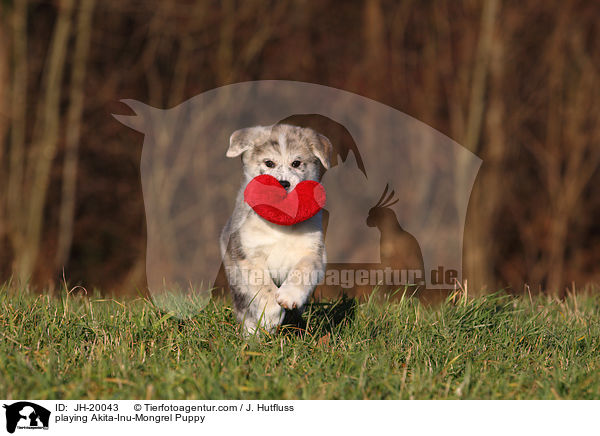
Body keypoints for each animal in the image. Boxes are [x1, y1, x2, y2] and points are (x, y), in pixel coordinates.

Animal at [220, 124, 332, 336]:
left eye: (296, 163)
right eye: (269, 163)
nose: (284, 183)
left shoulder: (313, 251)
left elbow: (302, 270)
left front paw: (289, 296)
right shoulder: (247, 253)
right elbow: (263, 285)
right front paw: (271, 315)